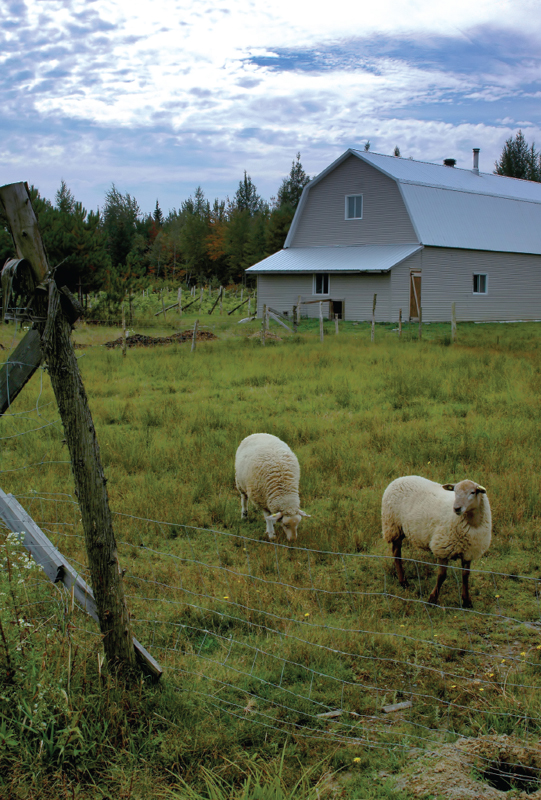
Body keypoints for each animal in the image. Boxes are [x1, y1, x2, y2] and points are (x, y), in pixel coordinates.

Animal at [382, 476, 492, 608]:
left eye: (473, 492)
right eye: (455, 491)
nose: (456, 508)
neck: (472, 523)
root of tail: (399, 478)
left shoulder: (468, 552)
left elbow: (465, 575)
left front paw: (466, 601)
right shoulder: (442, 548)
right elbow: (441, 576)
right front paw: (432, 599)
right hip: (394, 526)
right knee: (396, 553)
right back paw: (403, 582)